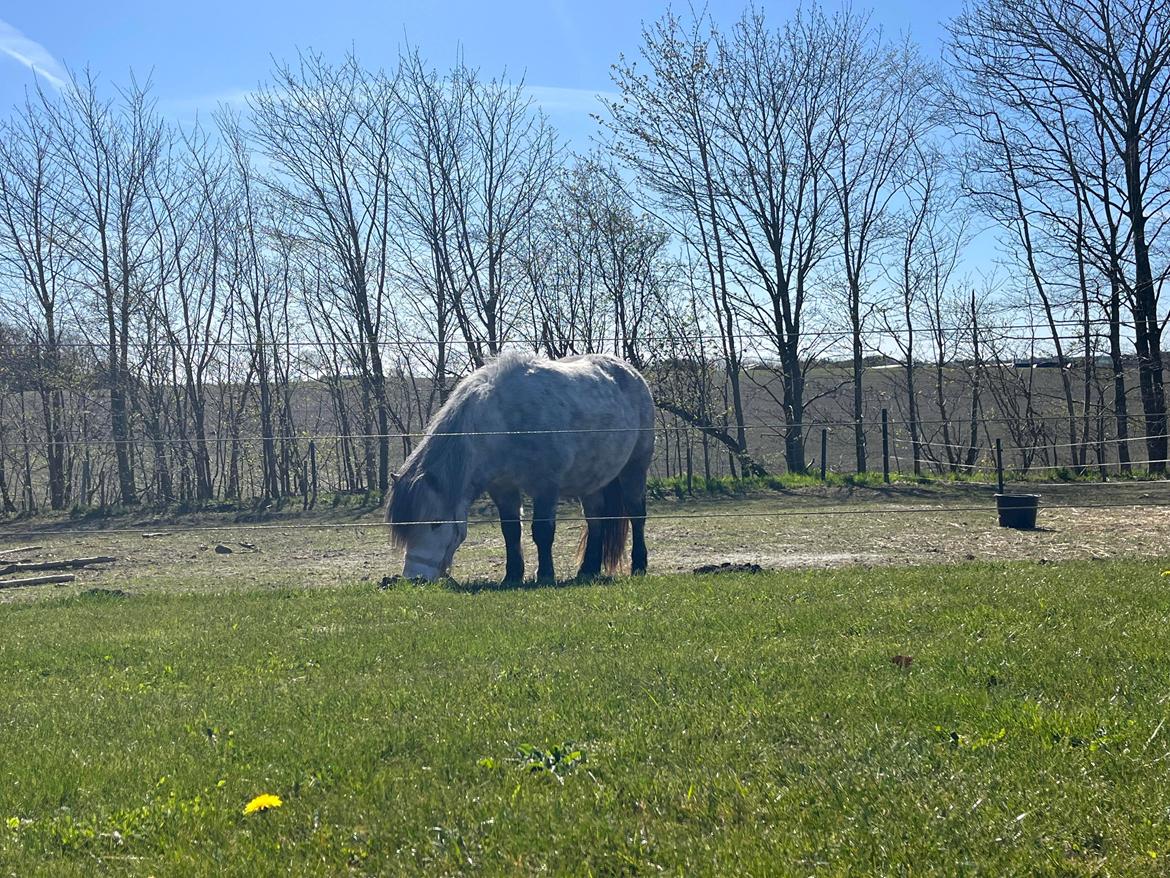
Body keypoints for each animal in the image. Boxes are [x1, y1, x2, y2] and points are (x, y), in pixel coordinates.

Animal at [386, 351, 655, 585]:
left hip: (635, 469)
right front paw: (512, 576)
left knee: (636, 515)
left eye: (436, 523)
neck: (503, 423)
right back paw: (588, 570)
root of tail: (633, 374)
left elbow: (542, 531)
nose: (415, 578)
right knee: (596, 519)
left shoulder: (546, 486)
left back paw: (639, 566)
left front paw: (545, 575)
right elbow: (511, 531)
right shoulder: (503, 489)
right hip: (591, 481)